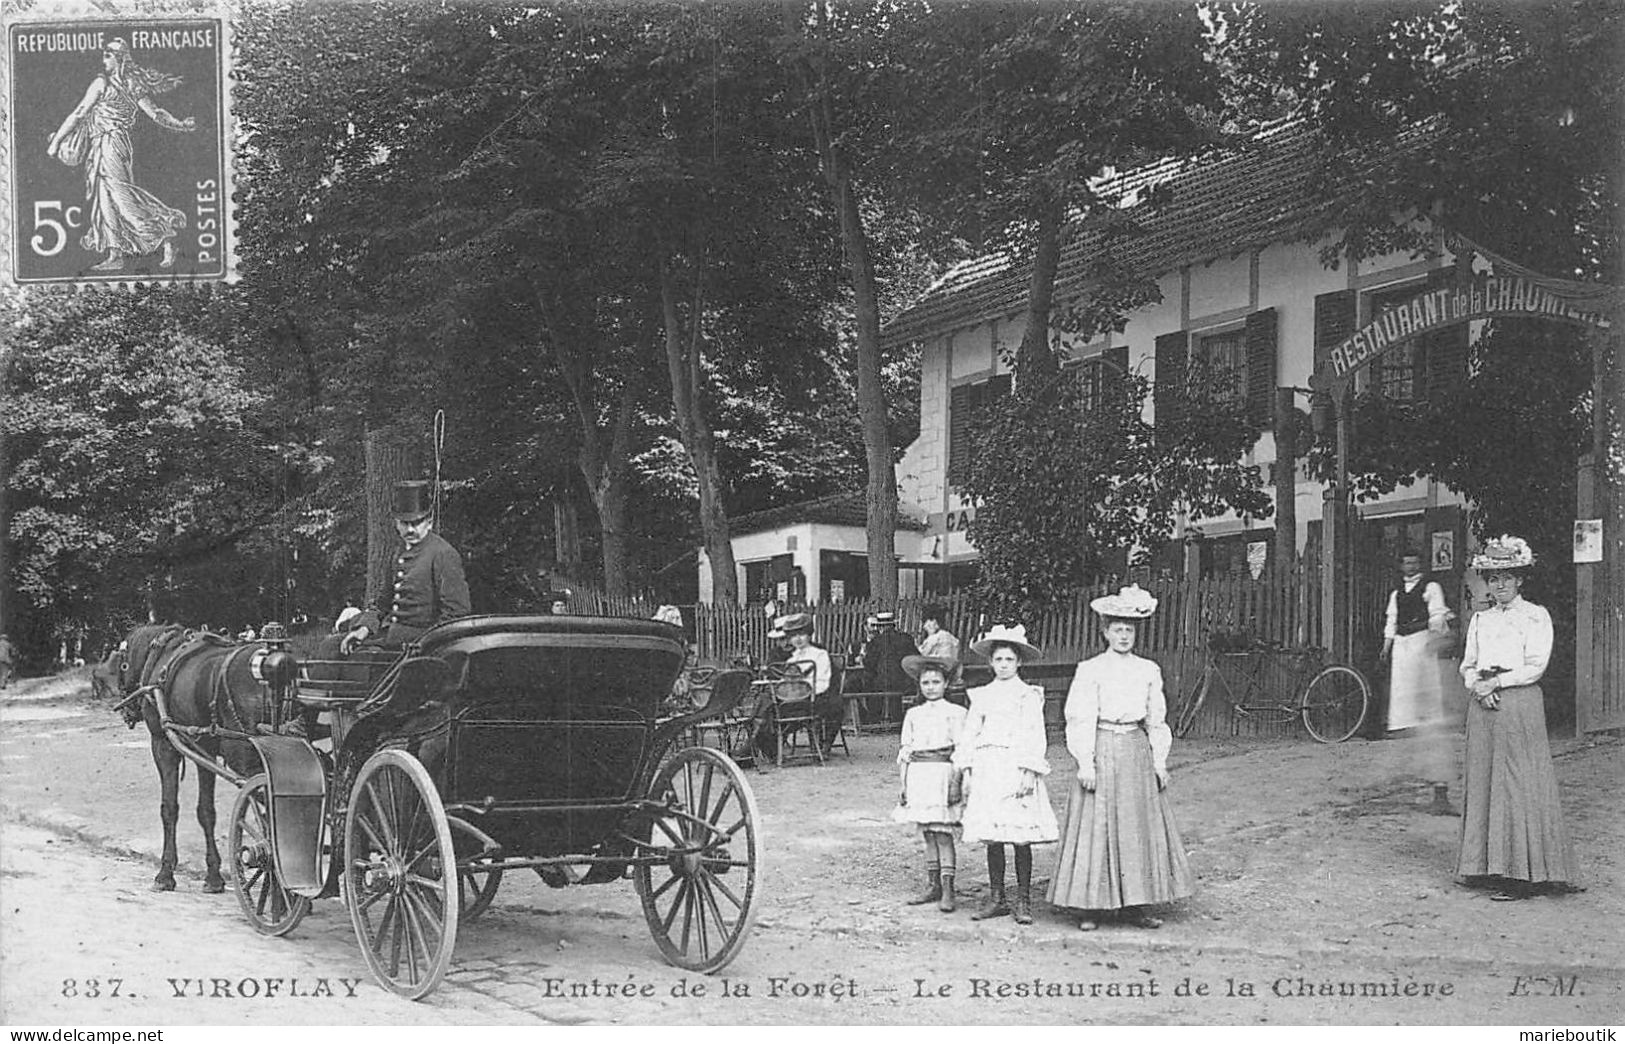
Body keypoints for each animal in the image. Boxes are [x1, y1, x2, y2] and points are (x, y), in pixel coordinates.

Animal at [108, 621, 274, 891]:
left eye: (122, 666)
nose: (127, 712)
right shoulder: (203, 749)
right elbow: (206, 811)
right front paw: (214, 875)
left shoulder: (163, 745)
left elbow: (169, 808)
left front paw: (165, 872)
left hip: (247, 760)